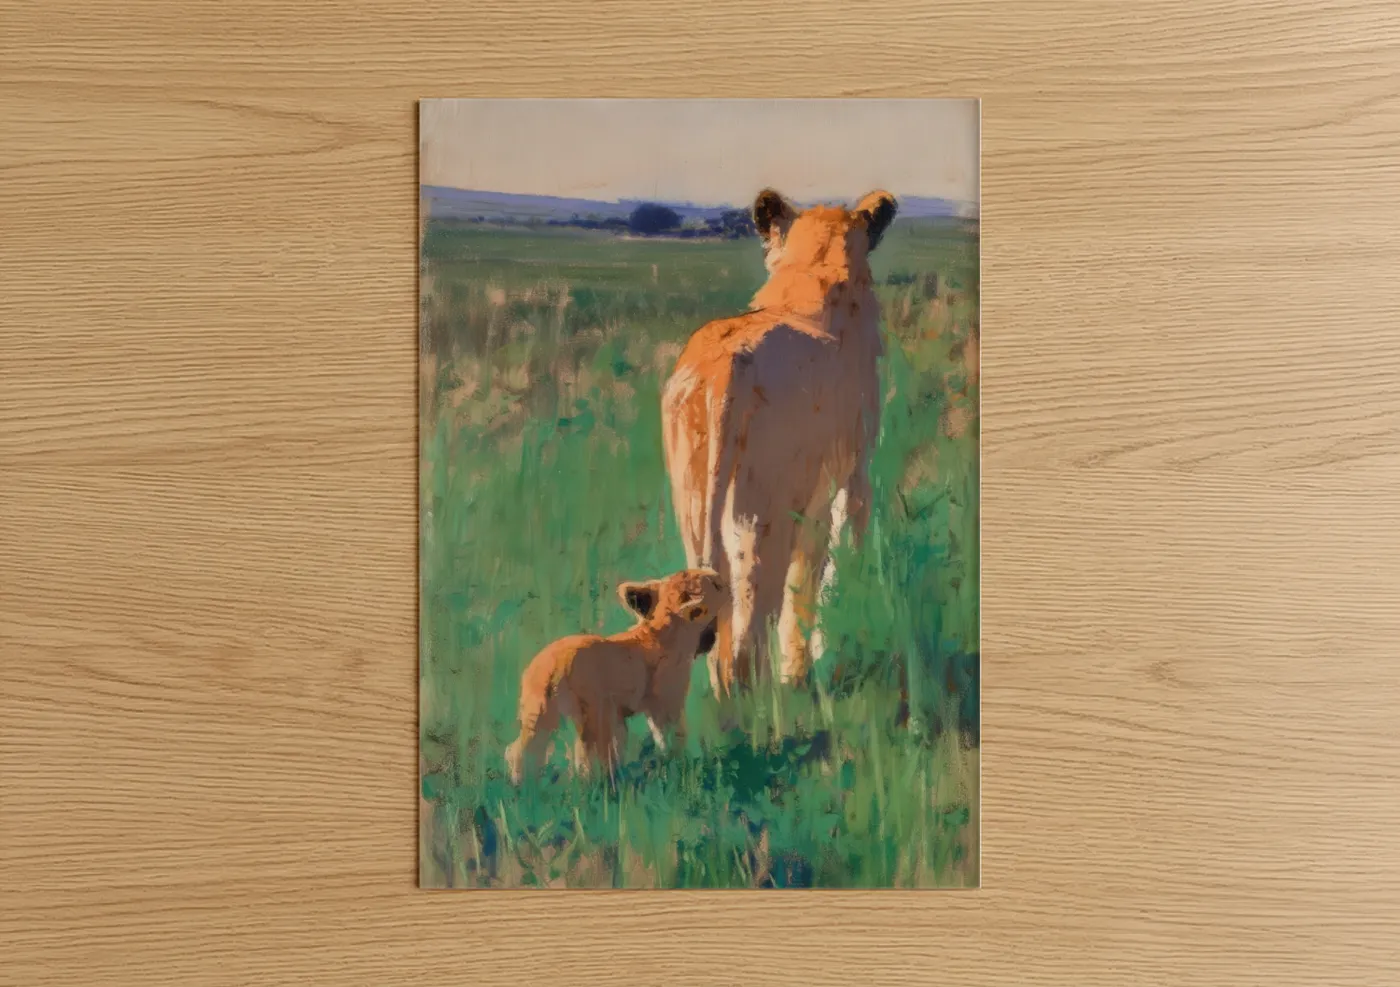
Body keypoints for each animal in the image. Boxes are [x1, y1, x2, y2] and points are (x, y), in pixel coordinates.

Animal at [504, 568, 725, 783]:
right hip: (593, 712)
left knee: (522, 751)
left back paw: (524, 788)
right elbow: (671, 738)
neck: (663, 631)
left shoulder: (621, 712)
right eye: (713, 584)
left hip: (537, 712)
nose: (719, 578)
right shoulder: (665, 702)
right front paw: (678, 769)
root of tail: (554, 666)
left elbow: (623, 744)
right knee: (587, 758)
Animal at [661, 188, 897, 693]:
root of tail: (724, 366)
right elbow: (830, 565)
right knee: (751, 614)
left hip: (694, 506)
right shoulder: (852, 474)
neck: (816, 267)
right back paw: (766, 700)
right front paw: (810, 665)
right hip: (761, 514)